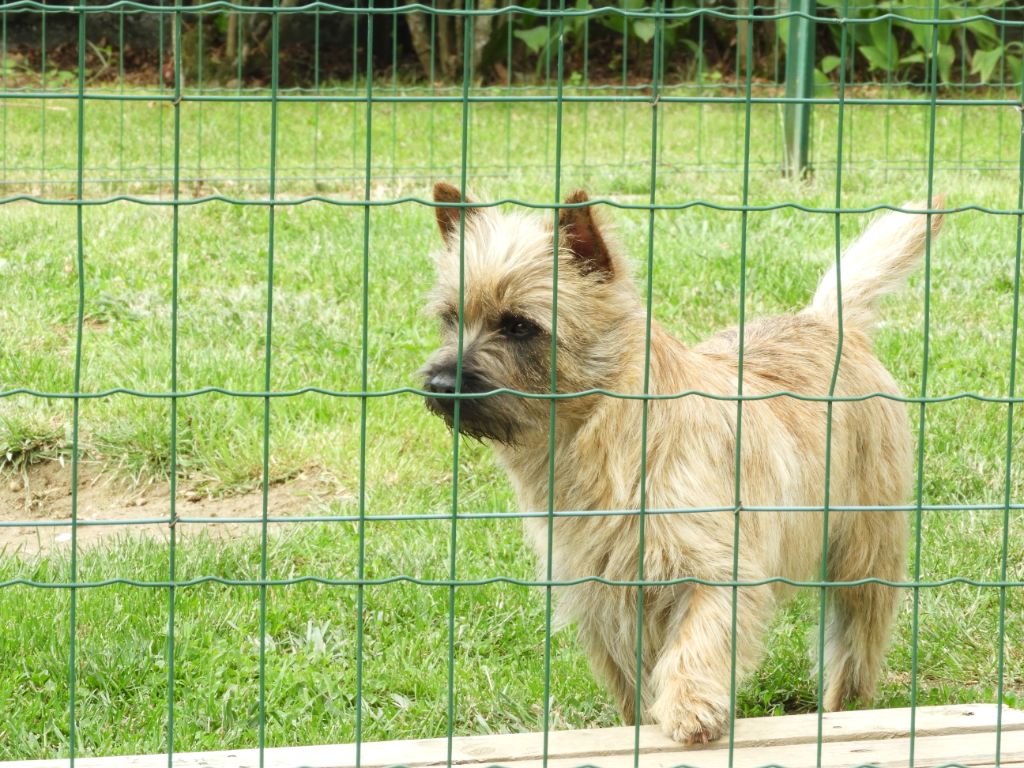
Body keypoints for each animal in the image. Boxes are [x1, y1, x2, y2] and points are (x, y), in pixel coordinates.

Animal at [420, 182, 943, 745]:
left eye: (519, 325)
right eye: (451, 318)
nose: (439, 384)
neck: (602, 441)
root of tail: (824, 319)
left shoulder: (714, 571)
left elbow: (698, 643)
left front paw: (692, 709)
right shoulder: (604, 598)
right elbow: (633, 680)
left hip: (863, 555)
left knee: (853, 646)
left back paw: (842, 711)